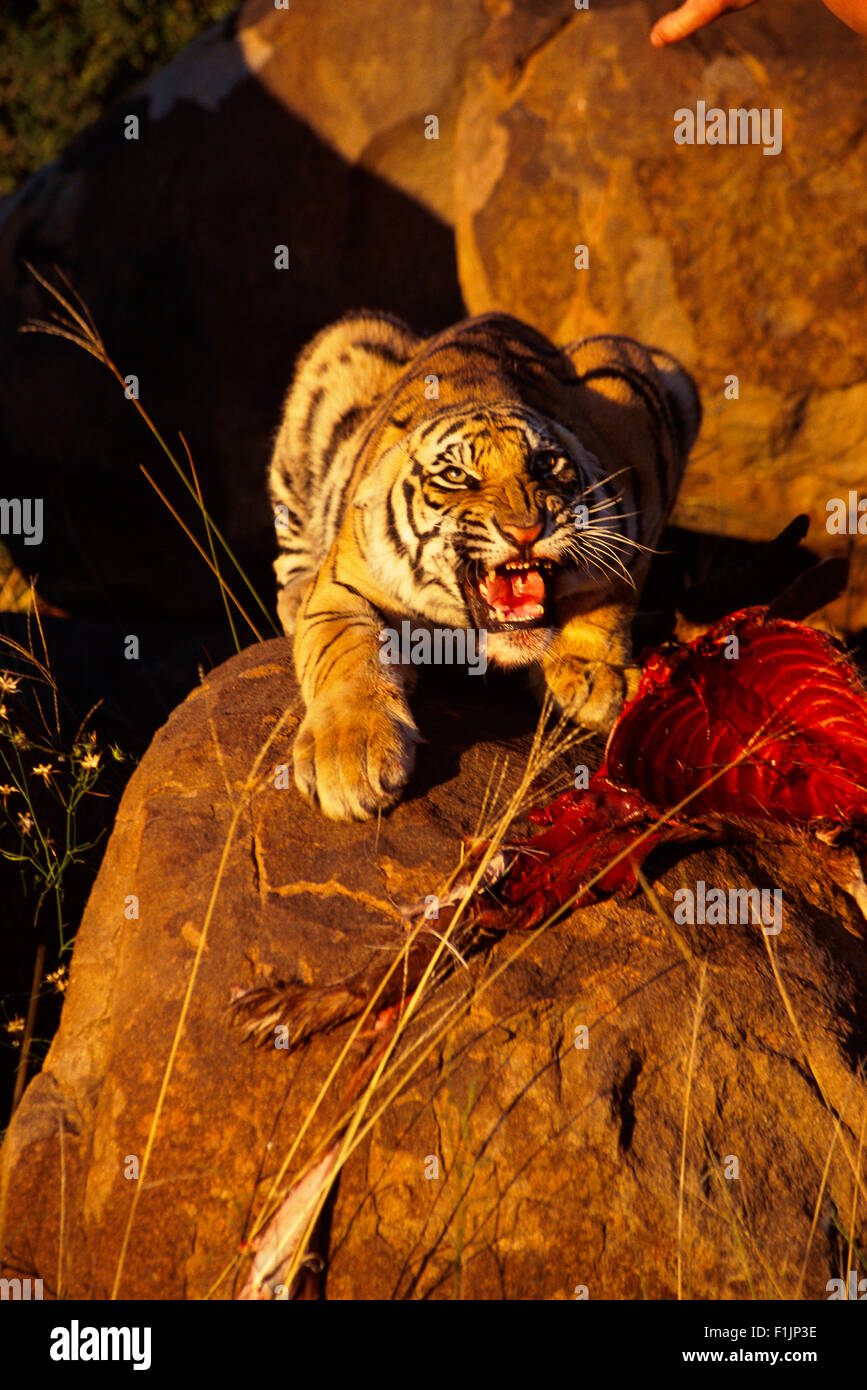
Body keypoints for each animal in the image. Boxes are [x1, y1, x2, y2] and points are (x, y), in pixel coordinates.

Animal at [268, 309, 700, 817]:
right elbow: (346, 651)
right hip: (343, 343)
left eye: (545, 464)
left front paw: (589, 676)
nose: (526, 530)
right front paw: (349, 757)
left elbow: (607, 599)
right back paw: (296, 598)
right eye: (456, 476)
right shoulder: (345, 585)